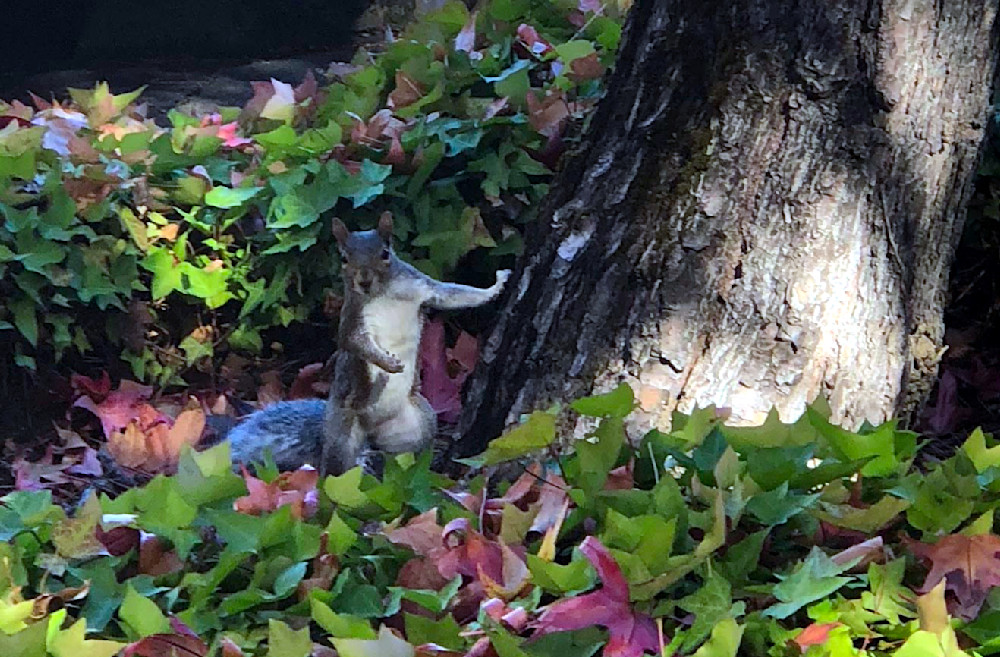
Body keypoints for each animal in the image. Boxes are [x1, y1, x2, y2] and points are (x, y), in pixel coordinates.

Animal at [225, 211, 511, 475]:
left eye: (385, 253)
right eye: (344, 258)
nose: (363, 281)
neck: (384, 293)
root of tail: (375, 431)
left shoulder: (425, 288)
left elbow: (458, 294)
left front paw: (497, 285)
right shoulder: (352, 319)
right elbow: (354, 343)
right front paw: (388, 363)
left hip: (421, 421)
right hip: (343, 433)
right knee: (336, 472)